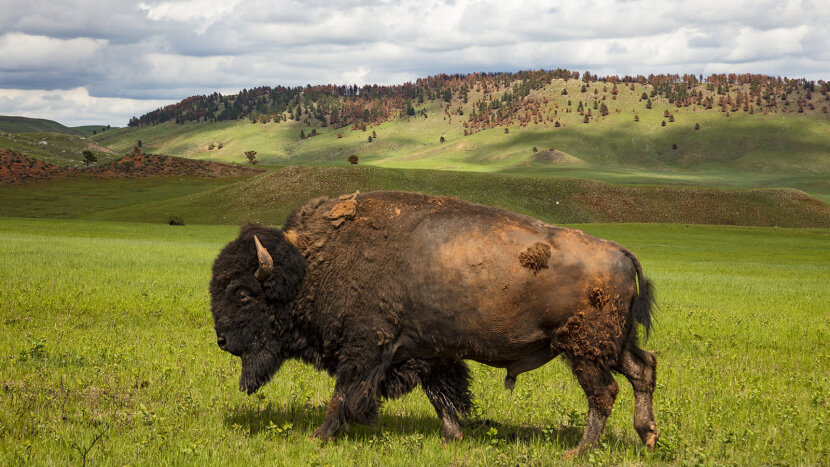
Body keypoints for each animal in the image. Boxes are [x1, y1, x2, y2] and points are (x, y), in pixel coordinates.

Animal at [211, 189, 660, 454]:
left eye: (243, 293)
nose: (222, 341)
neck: (310, 266)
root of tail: (620, 252)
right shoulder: (429, 354)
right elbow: (441, 397)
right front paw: (455, 437)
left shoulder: (364, 349)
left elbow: (344, 395)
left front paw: (321, 435)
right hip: (612, 345)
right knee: (643, 369)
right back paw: (648, 436)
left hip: (584, 349)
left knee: (604, 392)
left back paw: (580, 450)